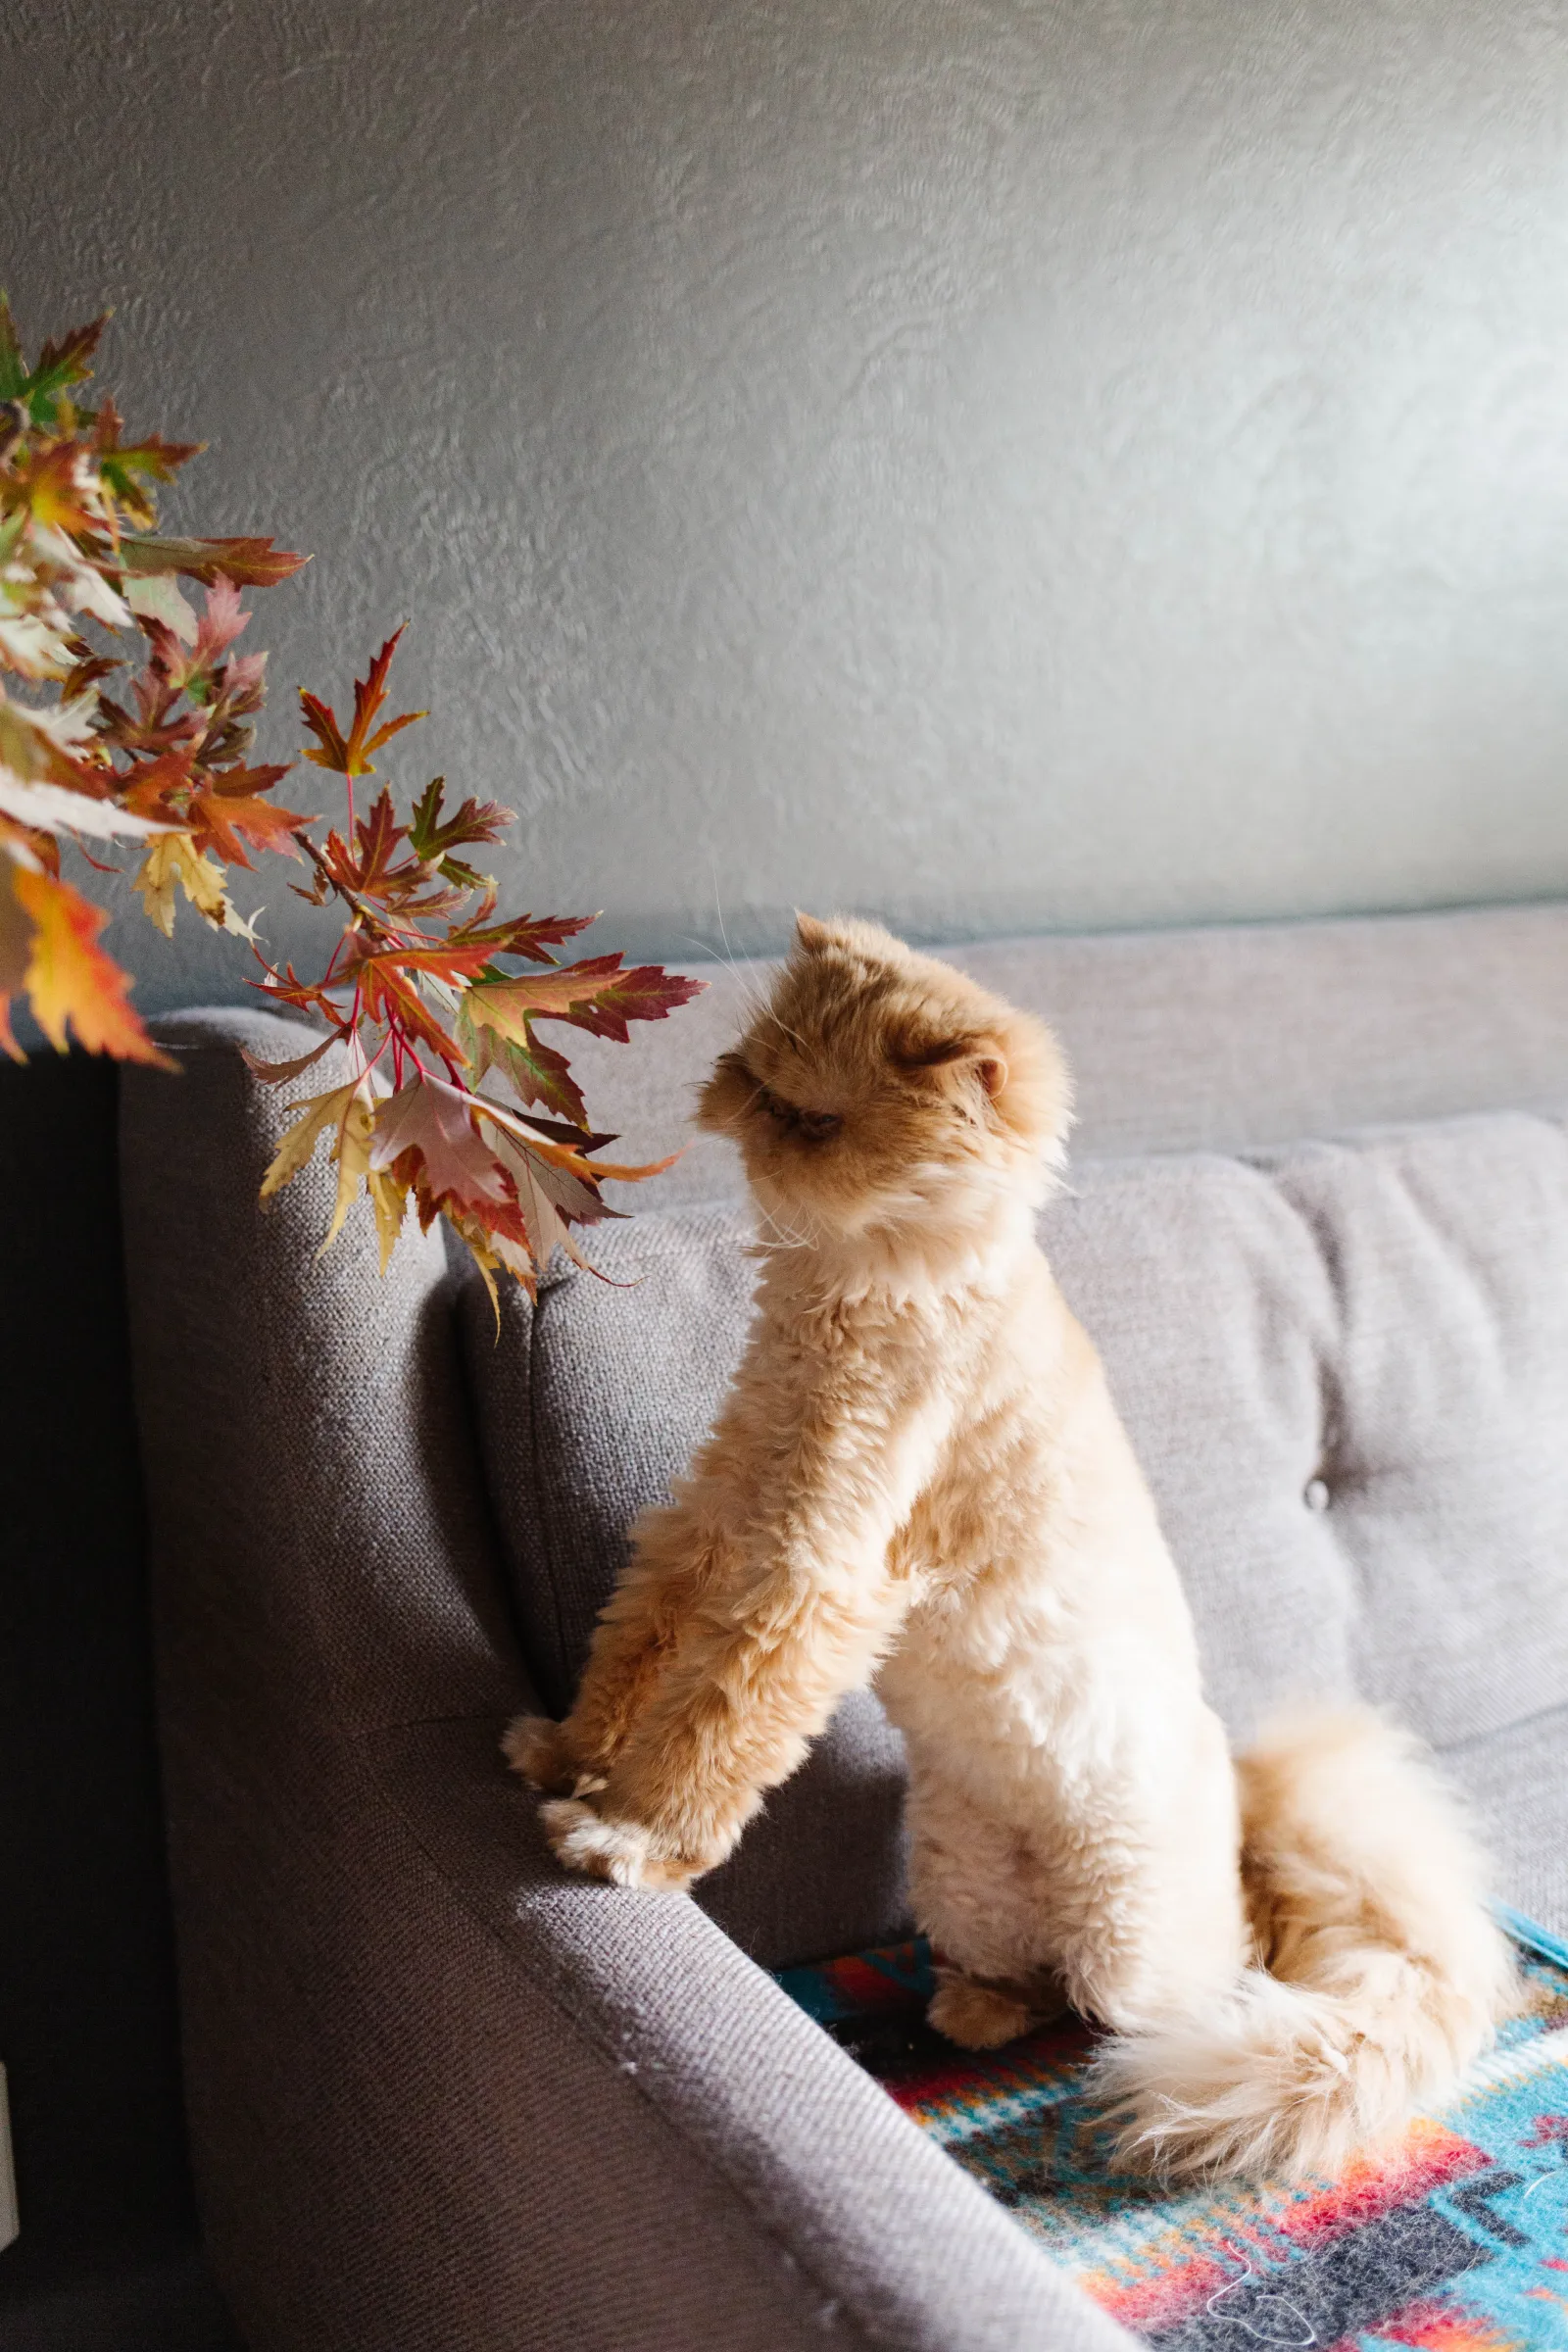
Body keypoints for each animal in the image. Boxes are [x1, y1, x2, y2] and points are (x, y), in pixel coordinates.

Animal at [510, 907, 1513, 2173]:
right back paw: (970, 2011)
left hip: (1130, 1950)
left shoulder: (809, 1570)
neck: (861, 1288)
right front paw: (562, 1758)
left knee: (1188, 1984)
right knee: (1029, 1982)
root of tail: (1244, 1795)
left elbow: (710, 1729)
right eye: (753, 1070)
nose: (737, 1109)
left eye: (815, 1118)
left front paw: (626, 1840)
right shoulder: (715, 1519)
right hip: (963, 1886)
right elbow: (629, 1657)